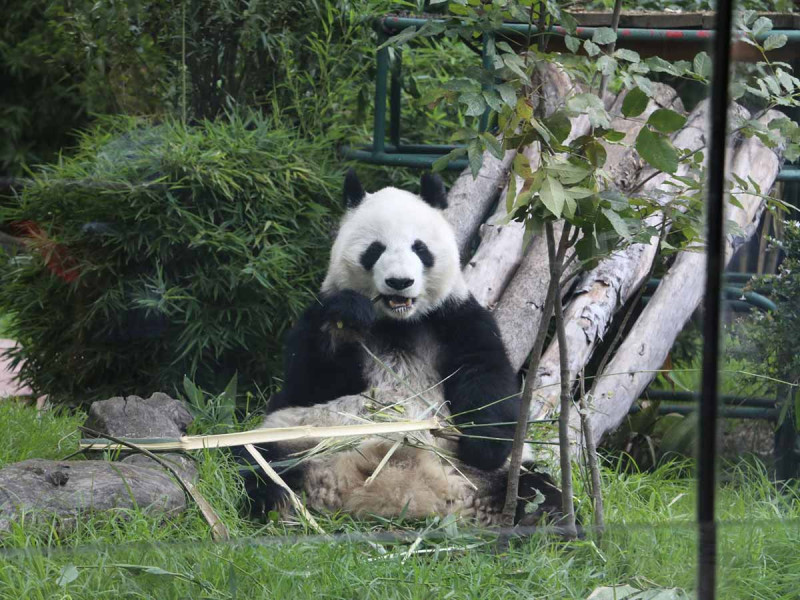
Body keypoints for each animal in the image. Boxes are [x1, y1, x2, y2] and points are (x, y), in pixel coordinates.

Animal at [239, 169, 564, 524]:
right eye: (375, 250)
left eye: (420, 248)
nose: (399, 282)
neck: (398, 323)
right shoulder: (319, 315)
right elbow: (308, 381)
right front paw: (348, 319)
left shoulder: (457, 318)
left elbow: (487, 377)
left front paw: (483, 444)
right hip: (299, 436)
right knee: (256, 462)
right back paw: (276, 503)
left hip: (486, 473)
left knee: (540, 490)